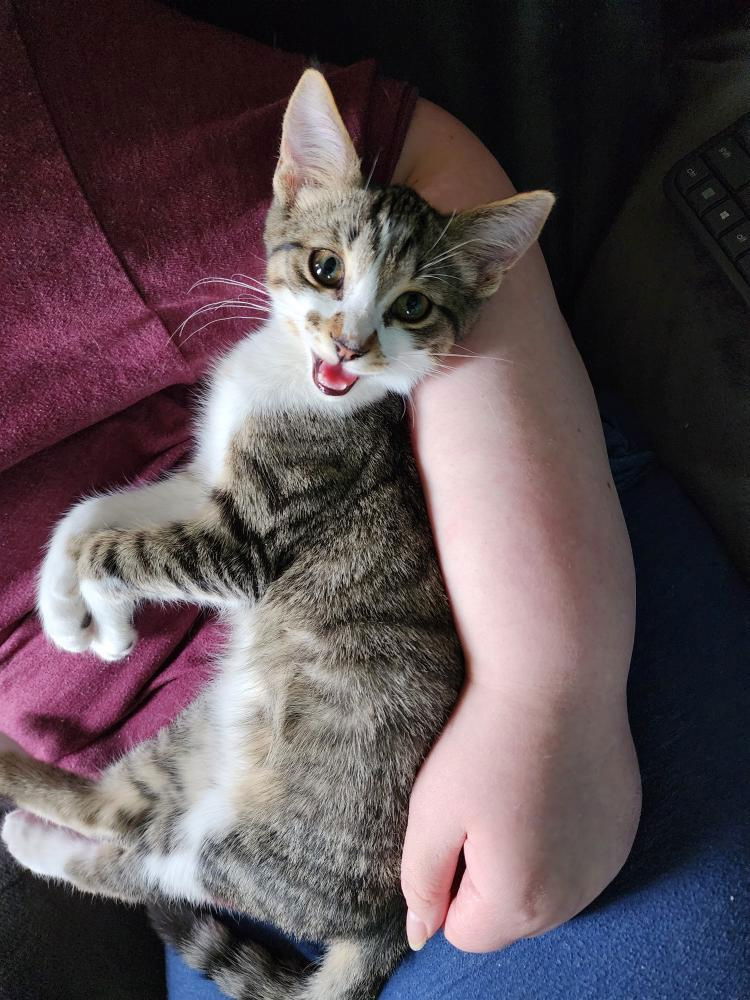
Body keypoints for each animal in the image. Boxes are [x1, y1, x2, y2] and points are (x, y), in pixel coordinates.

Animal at [0, 70, 553, 999]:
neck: (291, 384)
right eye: (326, 267)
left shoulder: (248, 542)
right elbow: (89, 514)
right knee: (110, 808)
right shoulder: (205, 481)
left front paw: (104, 618)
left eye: (412, 306)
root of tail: (385, 922)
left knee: (140, 863)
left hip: (240, 849)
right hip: (190, 741)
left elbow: (116, 549)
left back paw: (28, 829)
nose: (349, 344)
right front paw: (67, 614)